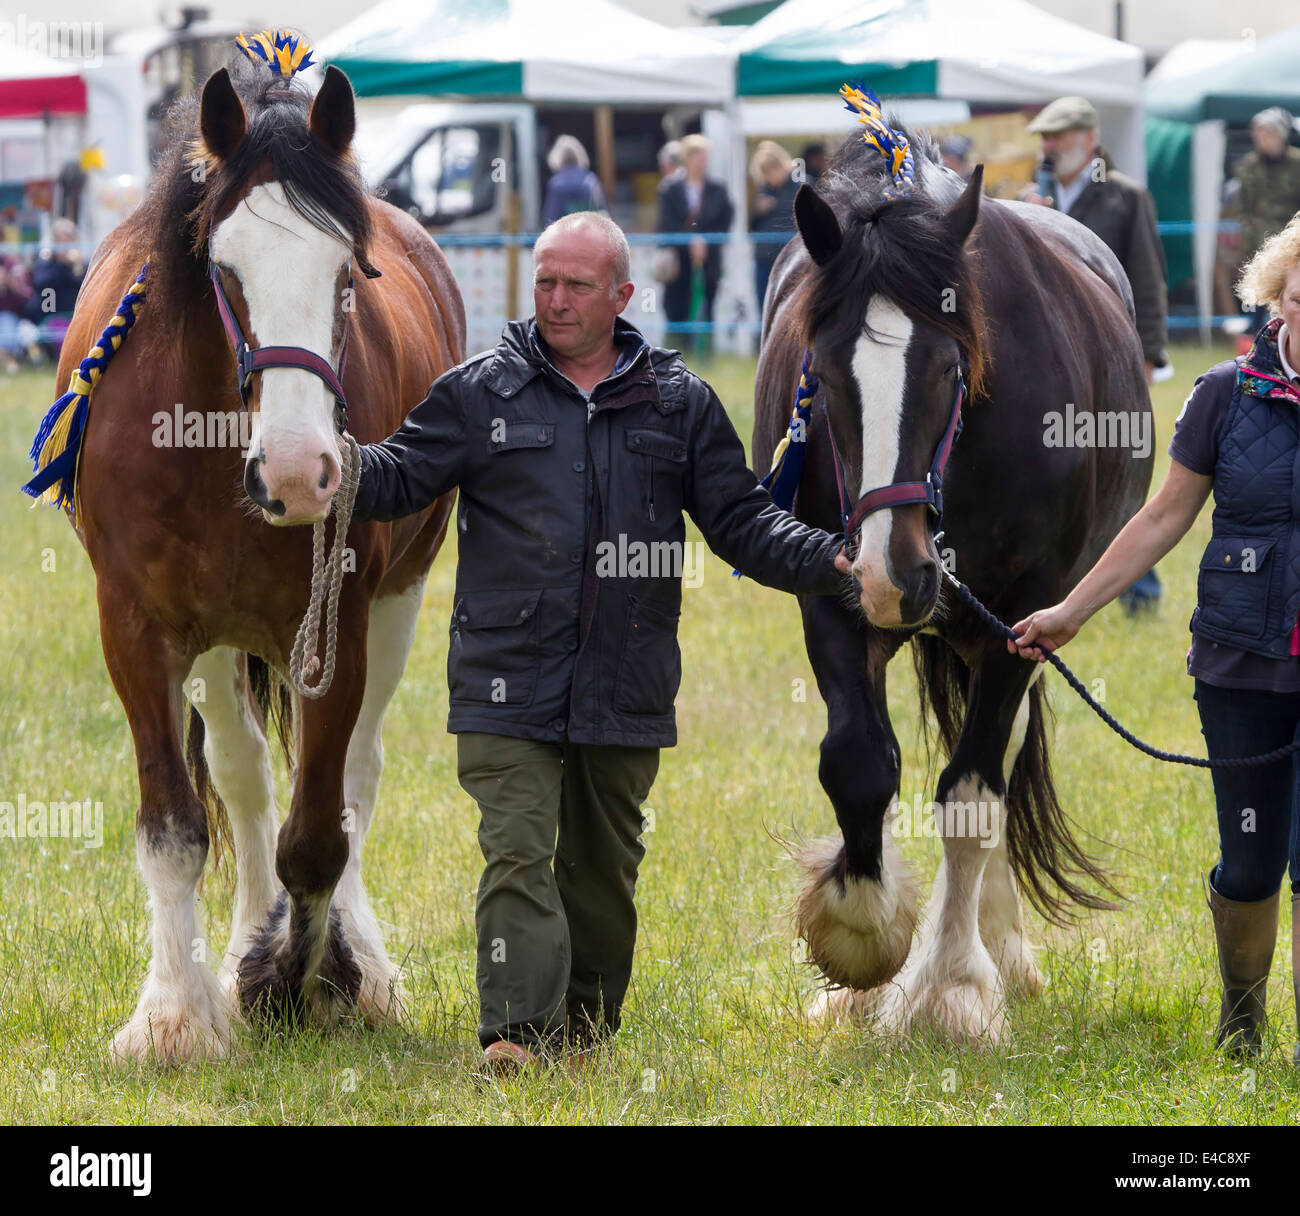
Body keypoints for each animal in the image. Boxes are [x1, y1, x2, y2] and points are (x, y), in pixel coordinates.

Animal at [31, 53, 464, 1062]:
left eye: (349, 274)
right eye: (225, 271)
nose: (303, 472)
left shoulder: (338, 629)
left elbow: (319, 834)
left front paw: (308, 980)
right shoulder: (137, 631)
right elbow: (176, 826)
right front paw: (176, 1014)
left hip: (399, 603)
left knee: (353, 780)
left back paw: (354, 961)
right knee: (244, 774)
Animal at [754, 117, 1152, 1045]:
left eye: (948, 368)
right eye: (823, 373)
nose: (897, 572)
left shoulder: (1022, 616)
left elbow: (971, 798)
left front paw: (951, 986)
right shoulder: (829, 592)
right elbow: (858, 765)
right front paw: (860, 949)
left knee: (995, 763)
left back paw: (998, 949)